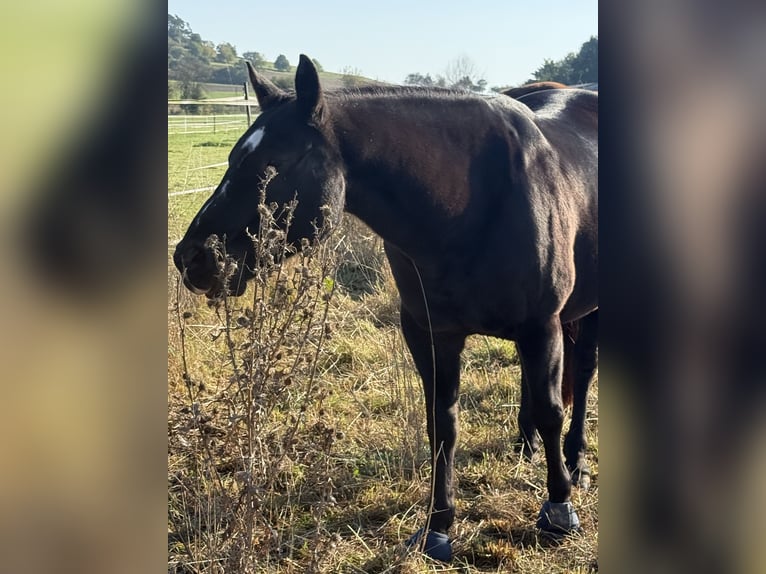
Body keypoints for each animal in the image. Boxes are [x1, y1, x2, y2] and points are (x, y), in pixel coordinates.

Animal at [173, 55, 598, 561]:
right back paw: (525, 443)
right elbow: (442, 425)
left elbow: (553, 411)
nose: (192, 257)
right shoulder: (430, 333)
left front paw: (558, 510)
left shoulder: (541, 325)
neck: (470, 203)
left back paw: (576, 461)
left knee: (583, 376)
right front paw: (437, 527)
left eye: (274, 164)